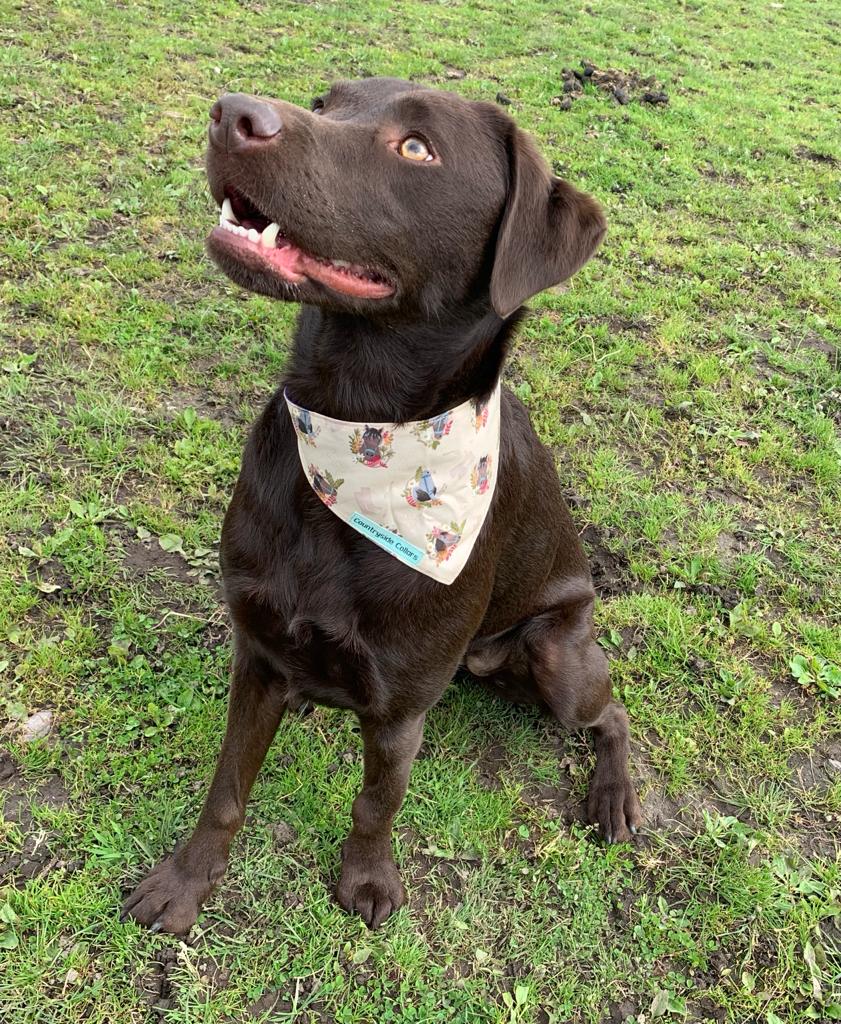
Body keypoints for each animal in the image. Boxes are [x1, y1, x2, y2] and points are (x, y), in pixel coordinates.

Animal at [121, 75, 639, 933]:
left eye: (416, 148)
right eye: (325, 103)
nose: (232, 114)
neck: (355, 434)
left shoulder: (398, 712)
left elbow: (376, 804)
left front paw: (366, 879)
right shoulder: (257, 656)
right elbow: (227, 787)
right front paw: (186, 881)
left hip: (557, 658)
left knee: (612, 713)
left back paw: (616, 798)